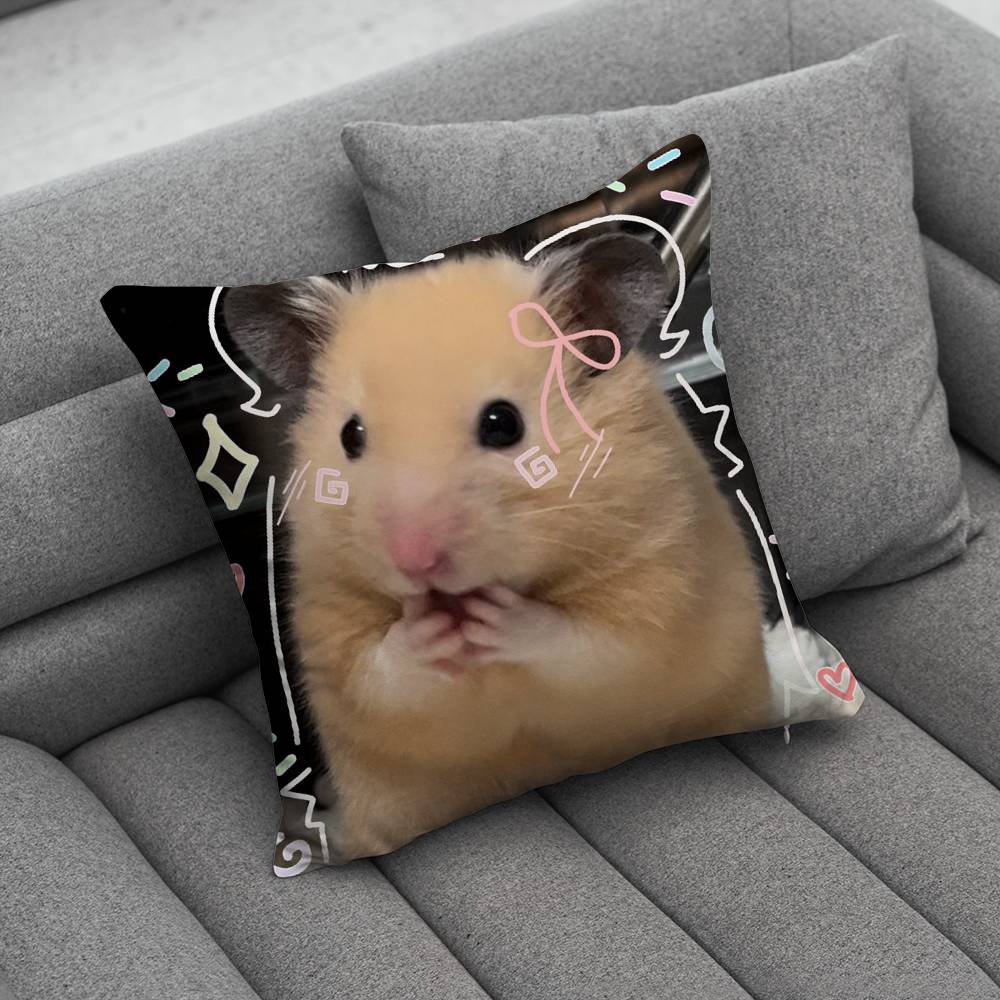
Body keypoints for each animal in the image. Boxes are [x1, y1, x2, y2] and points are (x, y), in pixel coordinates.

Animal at [225, 234, 771, 863]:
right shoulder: (329, 623)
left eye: (503, 423)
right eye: (350, 436)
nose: (415, 561)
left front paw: (495, 616)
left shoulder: (659, 580)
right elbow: (378, 672)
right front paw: (429, 627)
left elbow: (592, 645)